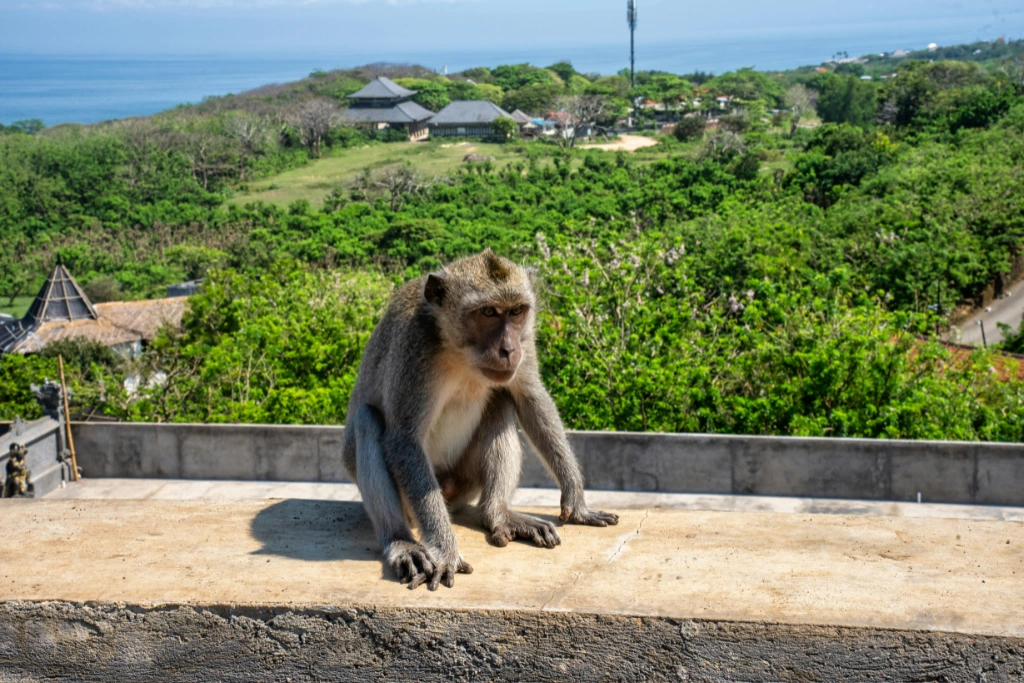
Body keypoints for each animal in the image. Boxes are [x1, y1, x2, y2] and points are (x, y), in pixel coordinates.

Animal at [342, 249, 619, 591]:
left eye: (516, 311)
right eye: (487, 312)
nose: (508, 349)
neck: (461, 353)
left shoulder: (526, 341)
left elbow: (529, 398)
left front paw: (576, 500)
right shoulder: (415, 346)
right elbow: (404, 438)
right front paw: (445, 551)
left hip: (465, 481)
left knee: (501, 400)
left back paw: (497, 513)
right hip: (414, 501)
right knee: (367, 420)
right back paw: (402, 542)